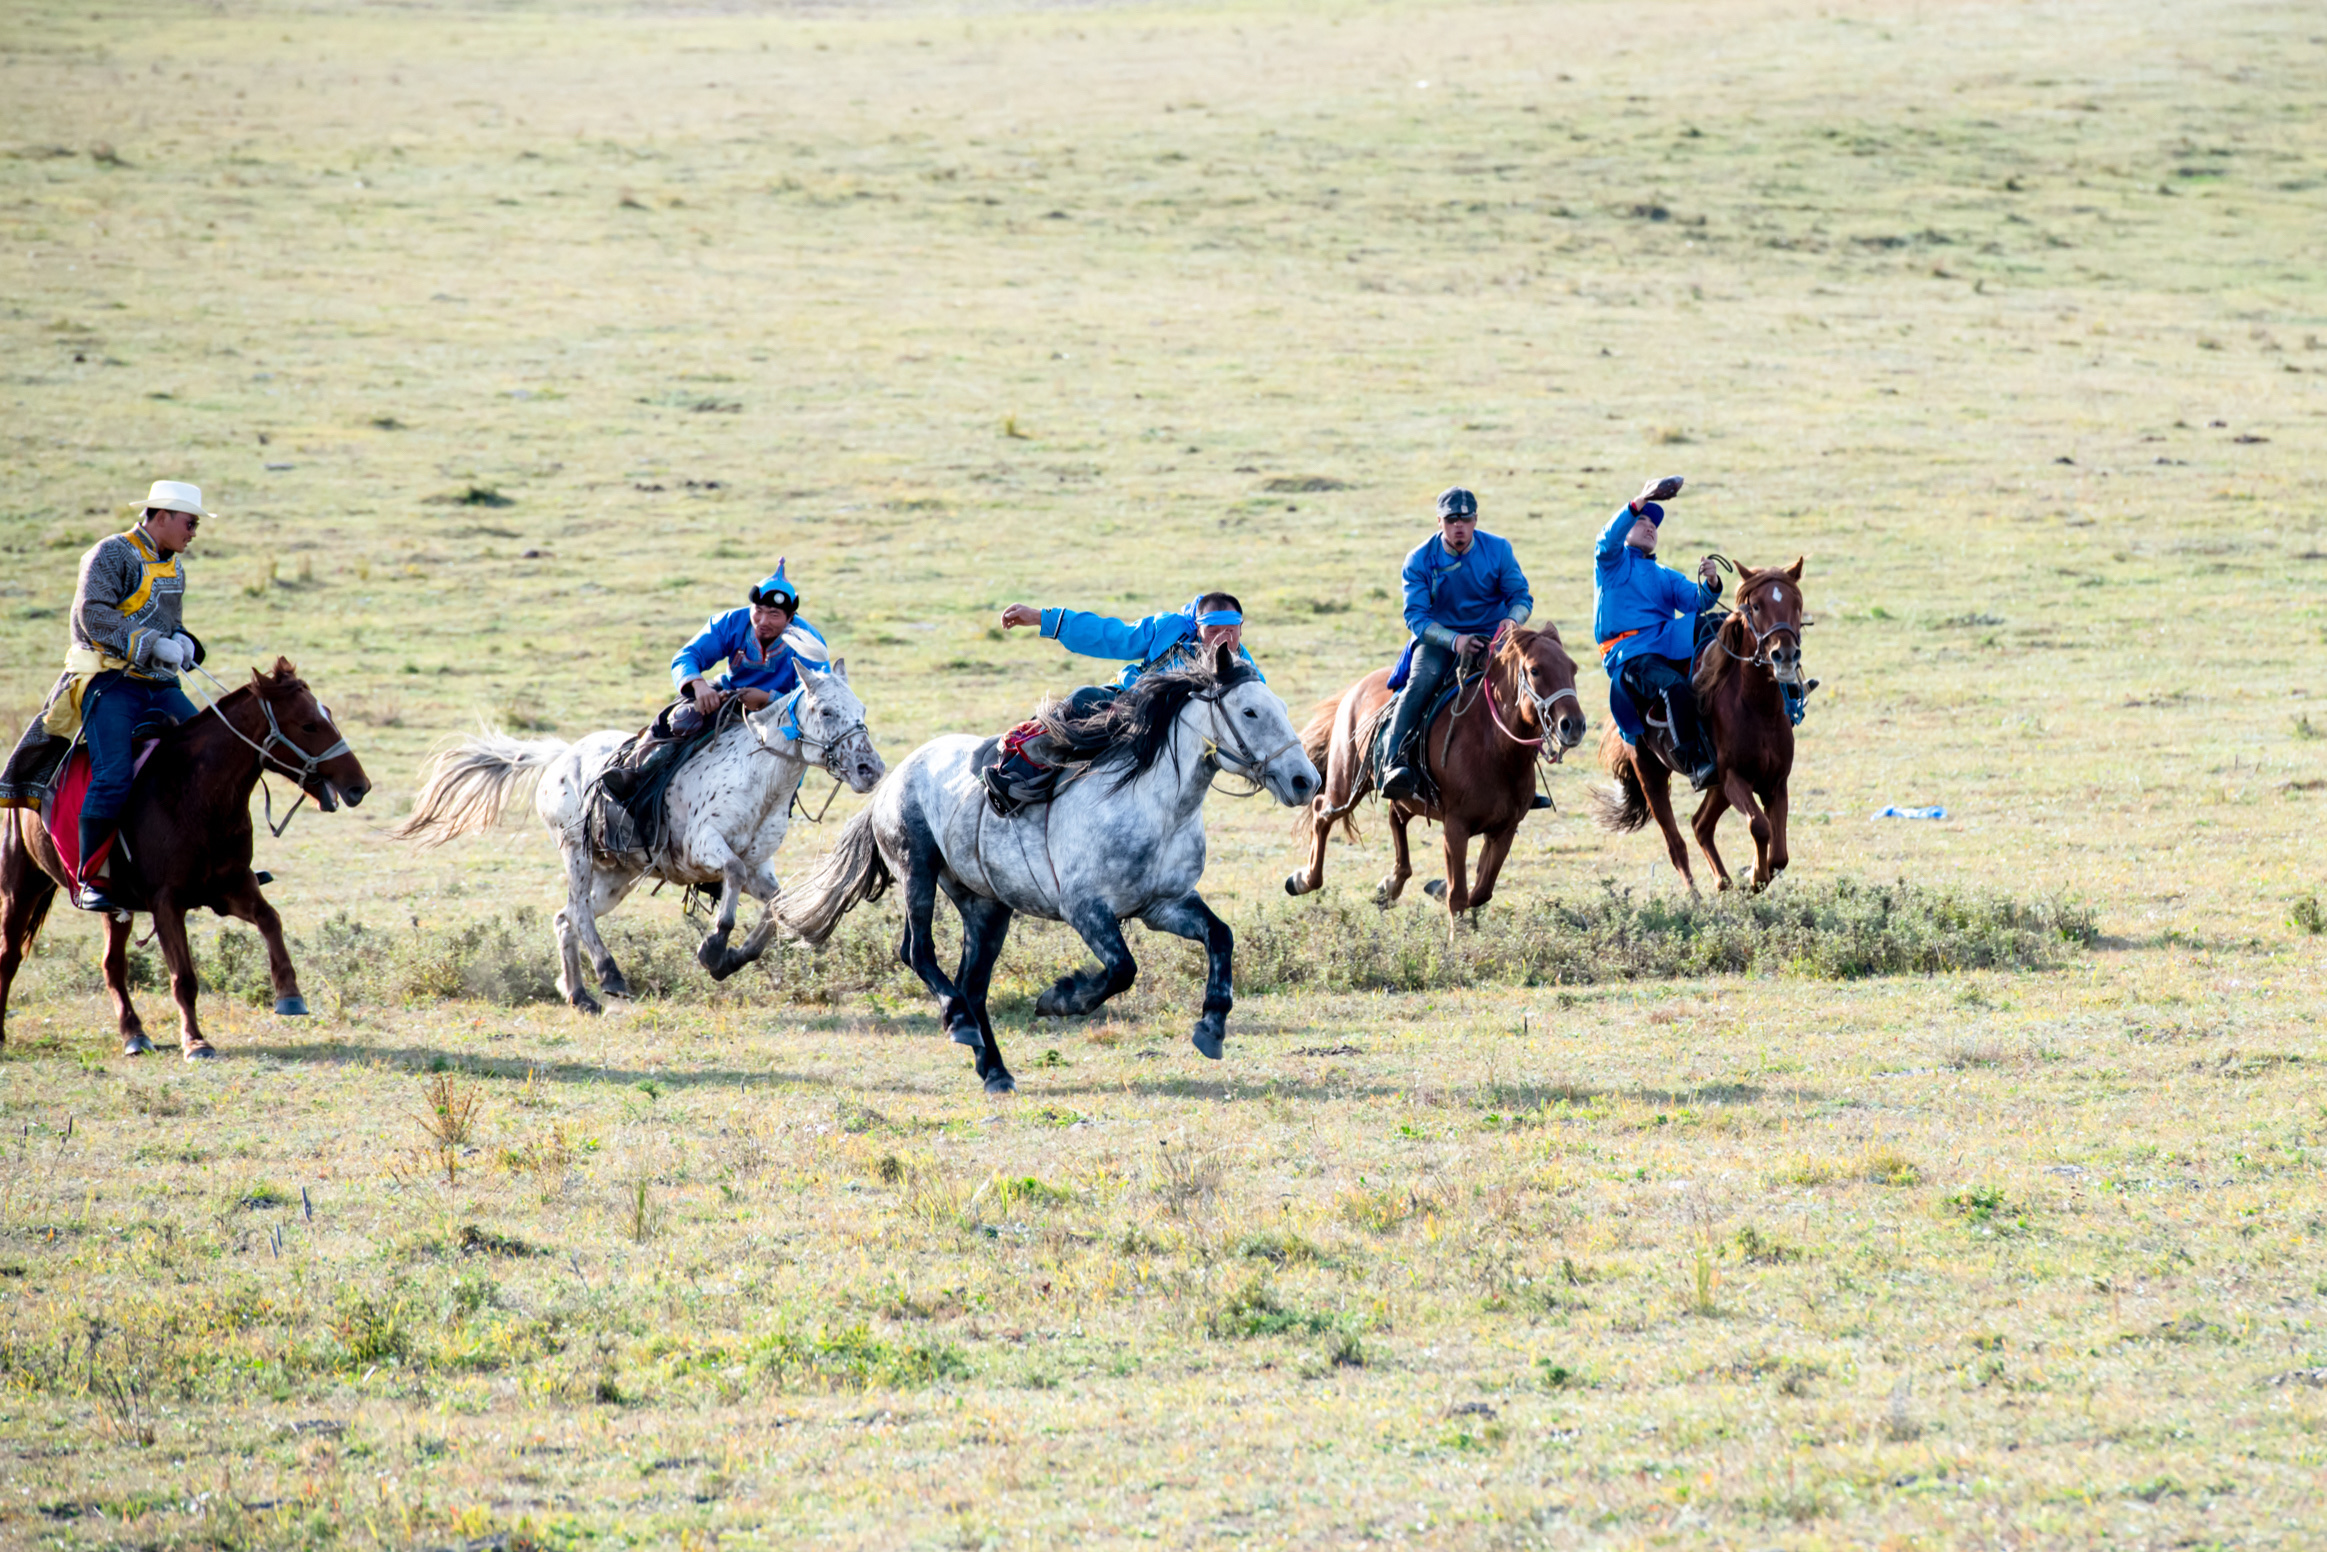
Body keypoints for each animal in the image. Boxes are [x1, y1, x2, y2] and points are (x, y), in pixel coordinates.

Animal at [0, 660, 369, 1061]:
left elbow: (271, 920)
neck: (195, 795)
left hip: (116, 906)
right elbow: (184, 977)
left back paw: (134, 1034)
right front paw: (195, 1041)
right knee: (10, 956)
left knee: (112, 966)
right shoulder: (167, 903)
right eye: (308, 724)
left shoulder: (232, 887)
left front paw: (290, 994)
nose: (359, 786)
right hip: (20, 888)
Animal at [390, 660, 879, 1014]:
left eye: (862, 711)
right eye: (826, 711)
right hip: (576, 854)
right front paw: (714, 947)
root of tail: (560, 756)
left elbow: (779, 908)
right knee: (578, 914)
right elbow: (733, 876)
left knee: (565, 917)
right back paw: (610, 975)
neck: (760, 777)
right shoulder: (705, 848)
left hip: (615, 878)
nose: (870, 769)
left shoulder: (761, 868)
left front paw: (733, 959)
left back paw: (580, 995)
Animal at [777, 651, 1321, 1098]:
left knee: (972, 983)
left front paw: (1211, 1025)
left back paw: (994, 1069)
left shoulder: (1163, 904)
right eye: (1250, 712)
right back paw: (959, 1024)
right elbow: (1122, 970)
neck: (1154, 805)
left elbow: (1220, 937)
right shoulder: (1086, 910)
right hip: (918, 872)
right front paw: (1060, 999)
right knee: (919, 953)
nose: (1305, 780)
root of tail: (890, 781)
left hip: (986, 906)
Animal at [1284, 623, 1591, 930]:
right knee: (1322, 811)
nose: (1573, 725)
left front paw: (1439, 887)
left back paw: (1390, 885)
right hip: (1345, 786)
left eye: (1573, 668)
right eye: (1535, 670)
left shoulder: (1504, 828)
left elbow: (1481, 890)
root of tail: (1355, 689)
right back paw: (1303, 880)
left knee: (1395, 817)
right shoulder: (1456, 828)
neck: (1495, 749)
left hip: (1402, 794)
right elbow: (1459, 896)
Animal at [1600, 565, 1815, 893]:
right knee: (1676, 844)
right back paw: (1697, 895)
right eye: (1756, 606)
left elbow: (1779, 855)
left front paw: (1754, 875)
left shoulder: (1775, 782)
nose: (1786, 654)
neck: (1757, 708)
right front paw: (1754, 876)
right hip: (1652, 775)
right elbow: (1759, 826)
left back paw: (1723, 883)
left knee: (1700, 825)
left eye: (1797, 603)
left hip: (1717, 787)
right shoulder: (1735, 779)